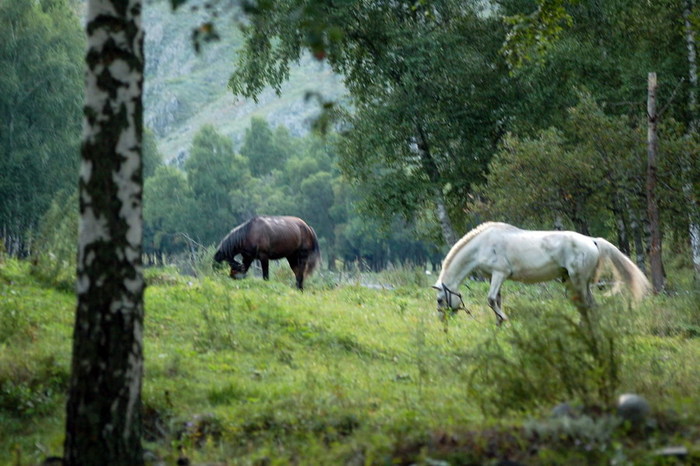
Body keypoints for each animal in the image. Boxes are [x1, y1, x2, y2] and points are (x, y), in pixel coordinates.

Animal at [432, 222, 652, 324]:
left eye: (440, 300)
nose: (443, 319)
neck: (482, 244)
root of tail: (592, 241)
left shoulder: (499, 273)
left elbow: (491, 300)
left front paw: (504, 320)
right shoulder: (494, 278)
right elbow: (497, 300)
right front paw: (498, 324)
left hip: (578, 281)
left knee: (587, 306)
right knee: (588, 306)